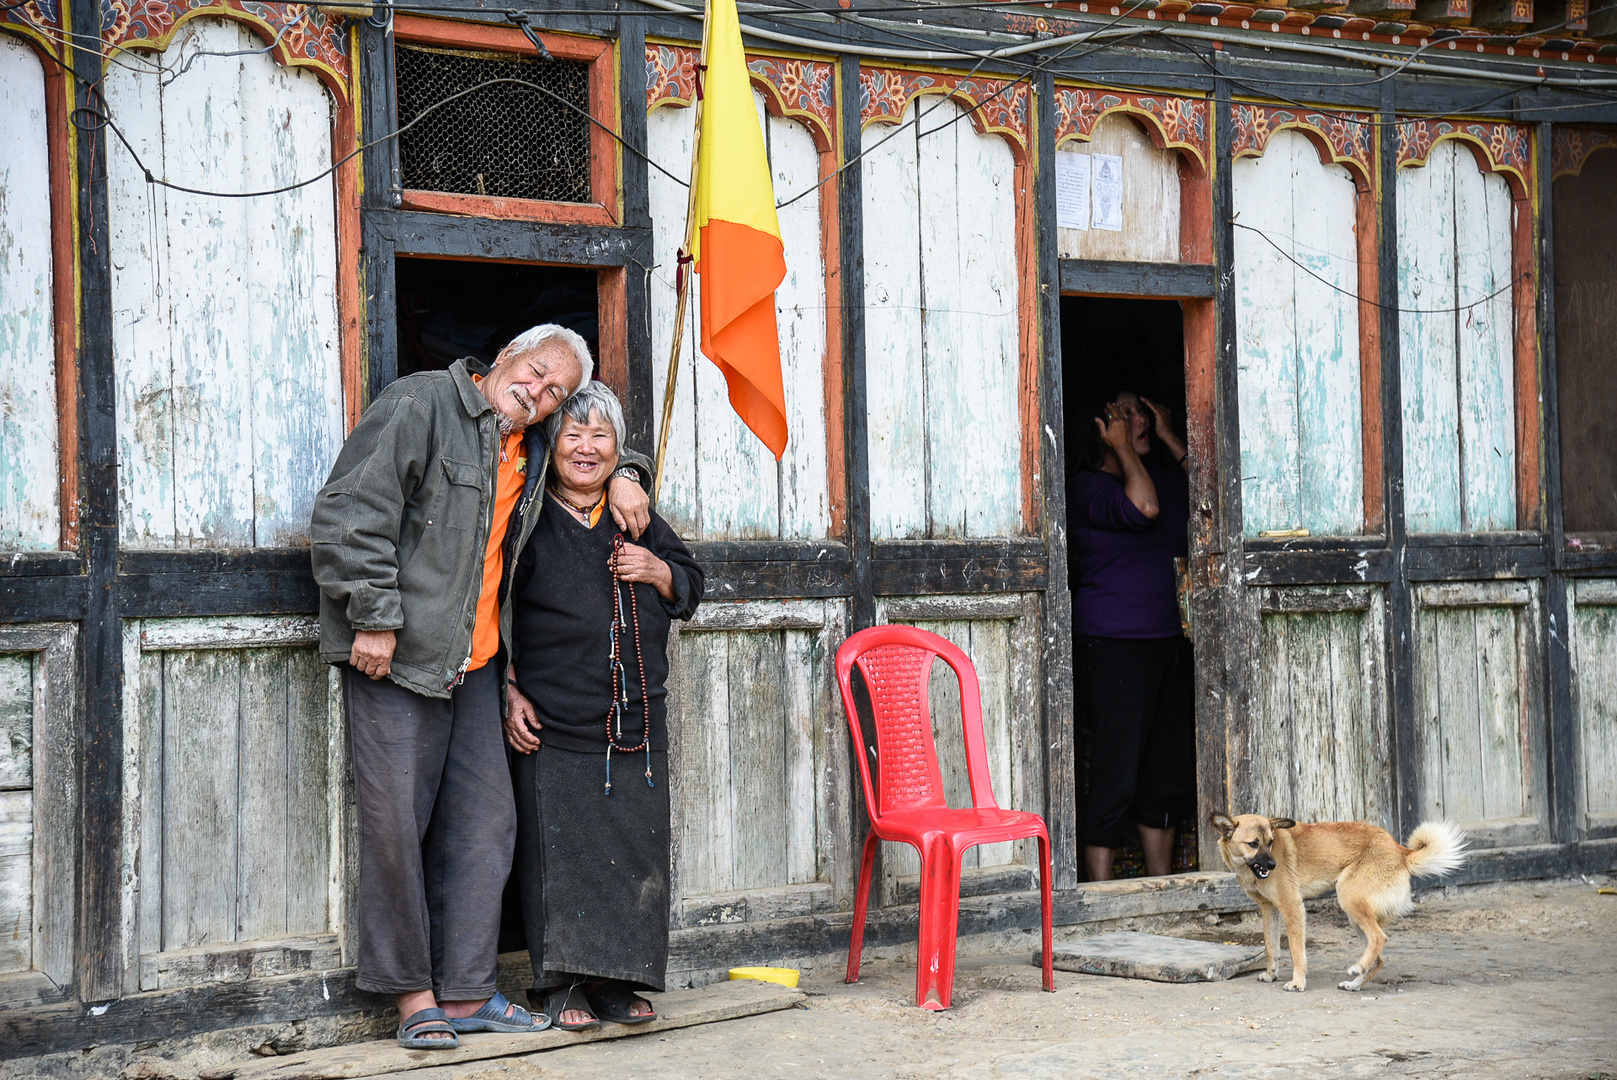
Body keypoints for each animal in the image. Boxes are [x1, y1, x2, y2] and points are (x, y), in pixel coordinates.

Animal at [1215, 814, 1468, 989]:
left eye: (1270, 842)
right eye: (1253, 843)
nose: (1273, 865)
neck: (1247, 867)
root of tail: (1401, 852)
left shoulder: (1292, 908)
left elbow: (1296, 952)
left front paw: (1298, 983)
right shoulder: (1270, 911)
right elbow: (1271, 947)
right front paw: (1270, 974)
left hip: (1349, 899)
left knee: (1379, 938)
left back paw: (1357, 968)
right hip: (1355, 917)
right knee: (1378, 958)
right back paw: (1355, 984)